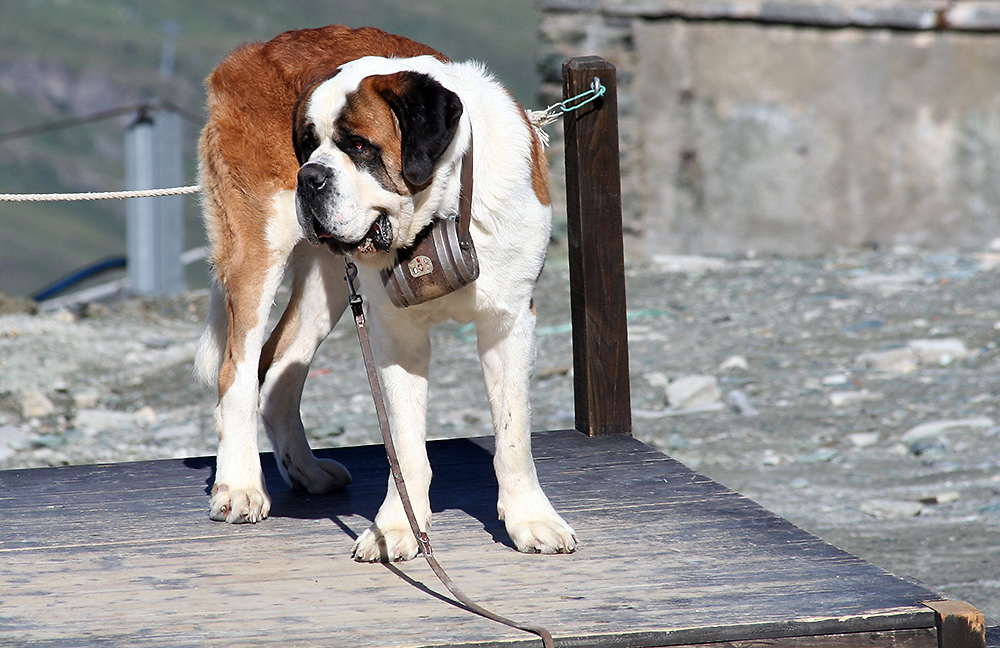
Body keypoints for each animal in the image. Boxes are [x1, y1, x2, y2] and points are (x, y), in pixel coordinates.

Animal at [193, 25, 580, 560]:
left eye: (358, 145)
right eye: (307, 144)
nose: (308, 176)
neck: (442, 213)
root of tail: (246, 53)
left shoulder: (510, 322)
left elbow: (513, 434)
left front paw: (531, 518)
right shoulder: (396, 334)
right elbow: (405, 443)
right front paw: (398, 527)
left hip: (331, 283)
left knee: (280, 365)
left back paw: (306, 471)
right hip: (259, 248)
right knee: (239, 367)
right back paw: (241, 486)